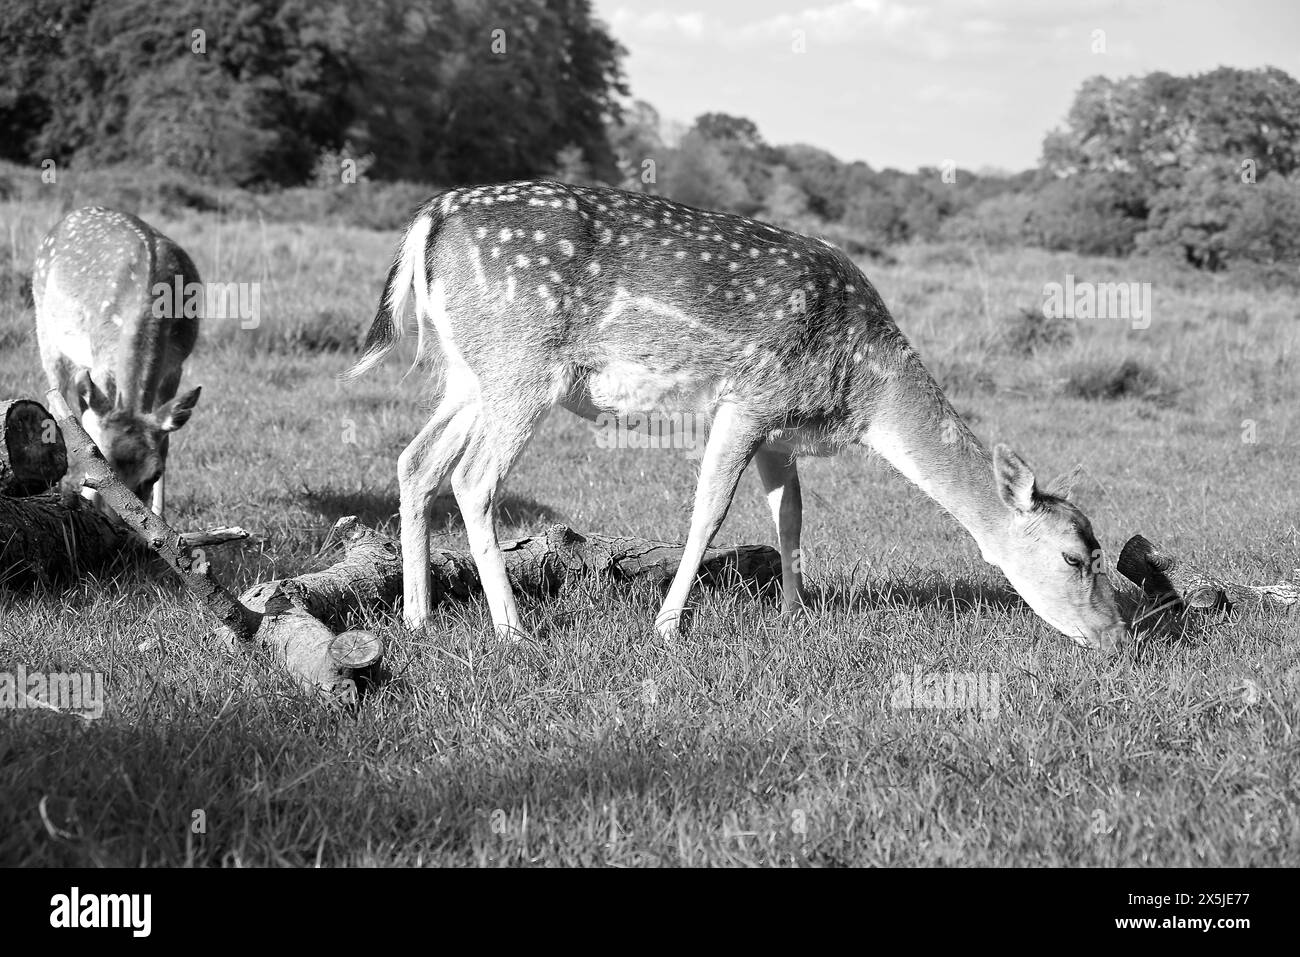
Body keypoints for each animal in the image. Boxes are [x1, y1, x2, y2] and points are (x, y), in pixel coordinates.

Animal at [34, 206, 202, 518]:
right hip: (46, 330)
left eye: (154, 474)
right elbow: (90, 428)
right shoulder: (101, 364)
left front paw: (162, 516)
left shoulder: (175, 366)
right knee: (57, 402)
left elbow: (166, 442)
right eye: (103, 462)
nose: (122, 521)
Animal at [345, 181, 1128, 654]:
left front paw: (794, 613)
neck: (859, 392)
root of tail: (428, 219)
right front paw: (667, 626)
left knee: (415, 460)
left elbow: (791, 518)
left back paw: (417, 614)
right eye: (1074, 556)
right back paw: (513, 629)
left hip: (469, 373)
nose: (1118, 635)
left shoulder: (781, 432)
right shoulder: (748, 399)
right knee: (473, 478)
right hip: (521, 367)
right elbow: (709, 512)